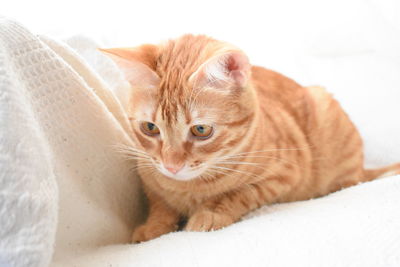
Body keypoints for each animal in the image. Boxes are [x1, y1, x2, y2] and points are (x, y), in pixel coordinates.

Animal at [100, 34, 400, 244]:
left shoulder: (282, 176)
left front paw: (210, 213)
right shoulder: (149, 178)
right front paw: (153, 227)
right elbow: (160, 204)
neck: (189, 188)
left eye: (201, 130)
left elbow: (239, 193)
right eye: (150, 128)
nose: (171, 166)